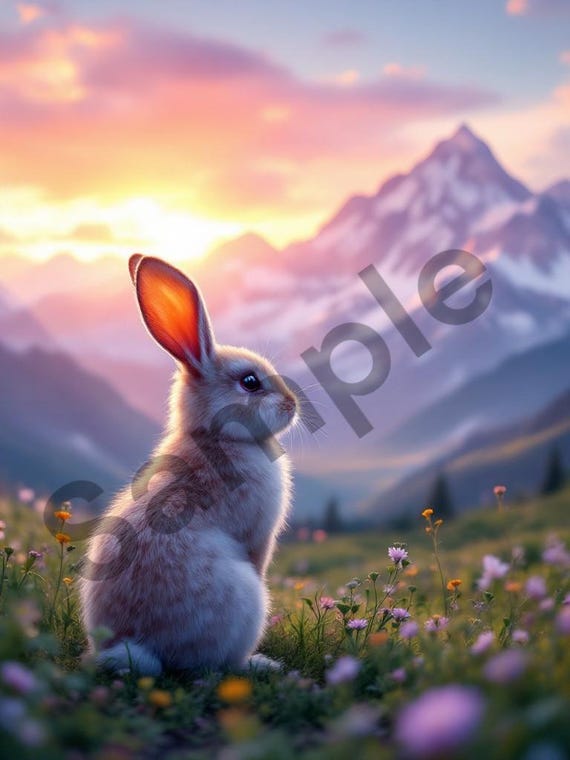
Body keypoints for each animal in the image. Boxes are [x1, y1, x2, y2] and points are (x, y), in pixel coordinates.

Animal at [79, 254, 298, 676]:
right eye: (250, 382)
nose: (292, 404)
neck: (217, 436)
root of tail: (138, 646)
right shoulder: (258, 535)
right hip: (247, 603)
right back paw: (261, 664)